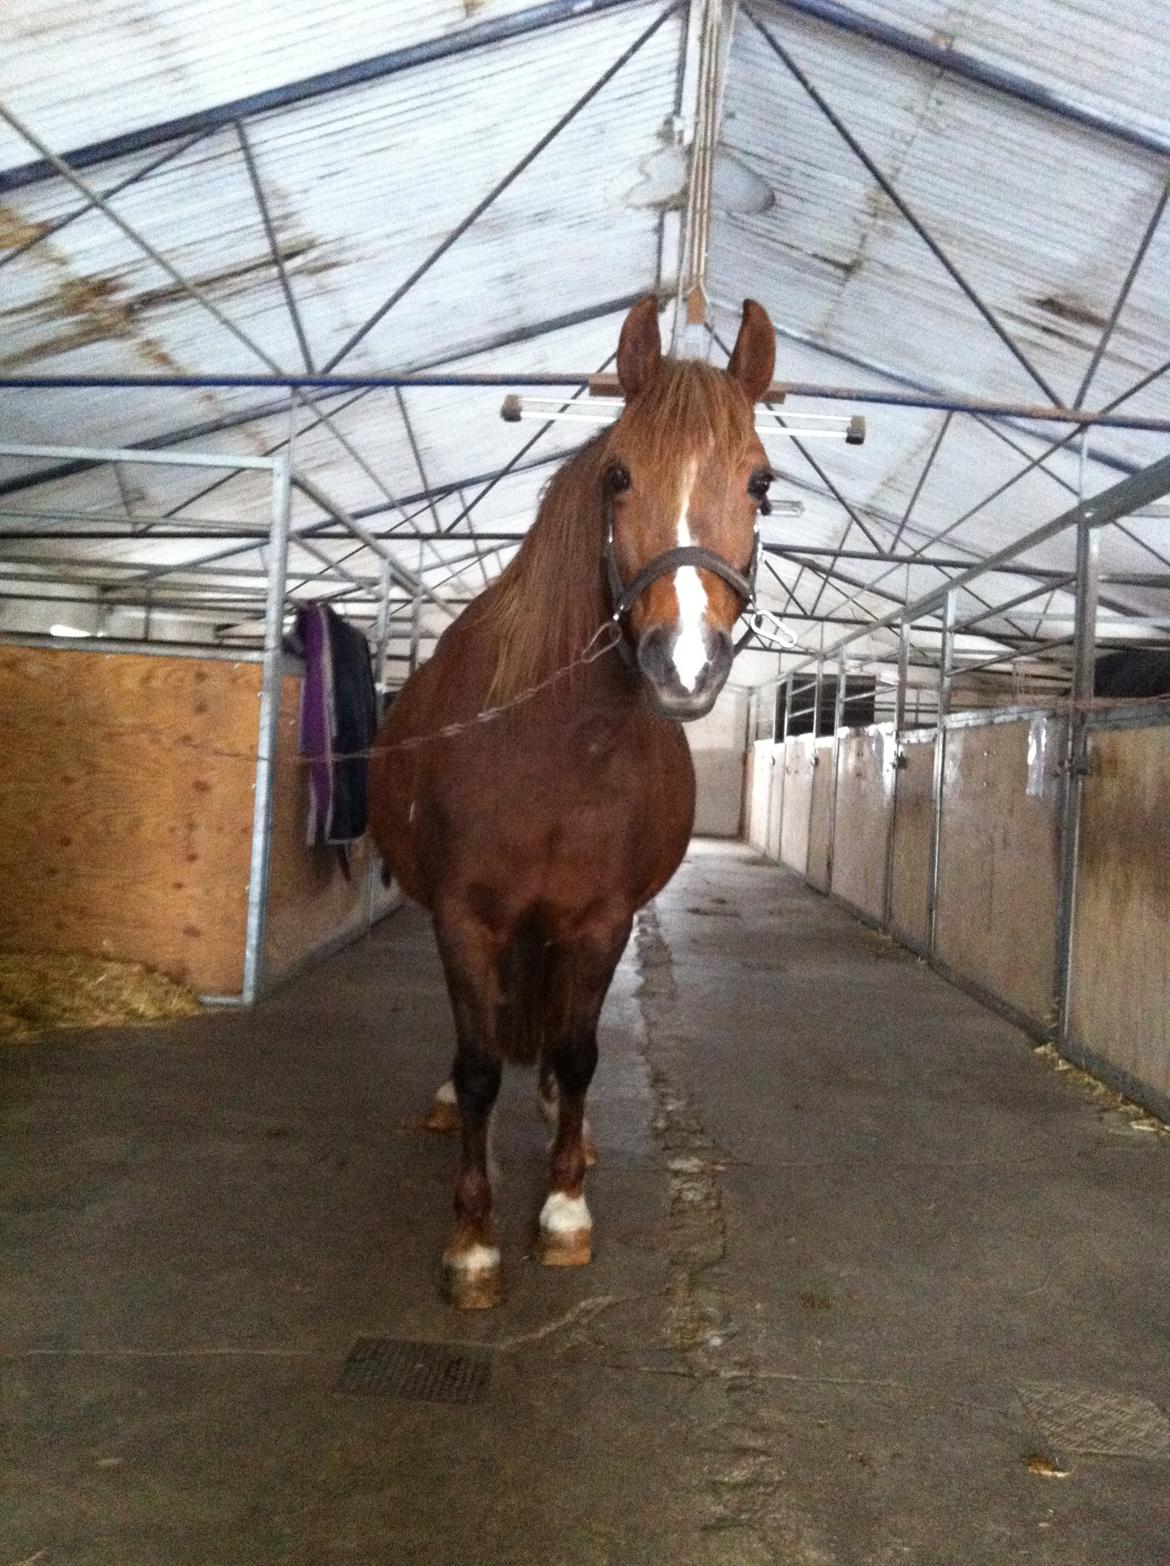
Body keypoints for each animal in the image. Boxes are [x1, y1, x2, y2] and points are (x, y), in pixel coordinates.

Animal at [368, 296, 776, 1308]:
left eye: (762, 483)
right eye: (620, 474)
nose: (684, 665)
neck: (559, 750)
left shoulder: (600, 920)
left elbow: (583, 1052)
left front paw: (563, 1209)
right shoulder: (465, 920)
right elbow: (479, 1067)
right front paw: (473, 1242)